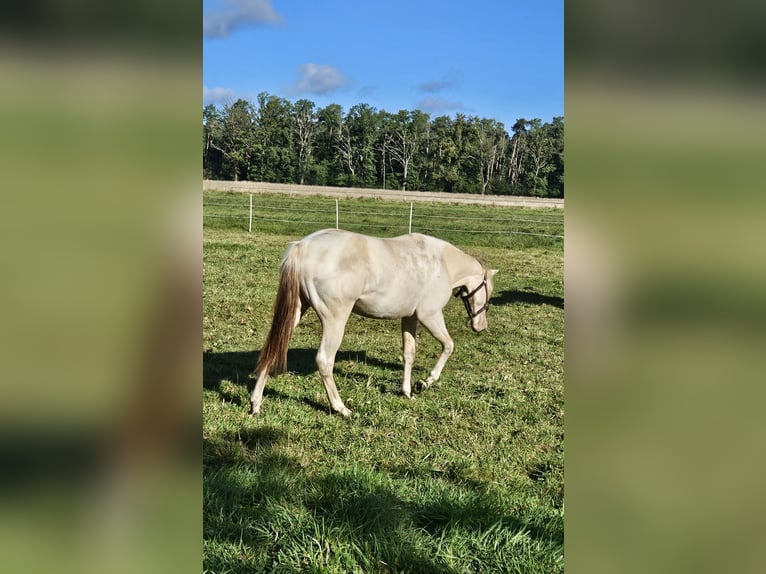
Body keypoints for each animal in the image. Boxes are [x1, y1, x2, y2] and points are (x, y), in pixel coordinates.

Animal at [250, 228, 497, 416]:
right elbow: (448, 346)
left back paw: (255, 403)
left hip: (296, 312)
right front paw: (425, 383)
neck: (442, 262)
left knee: (273, 349)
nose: (481, 326)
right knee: (324, 360)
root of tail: (303, 247)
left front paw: (407, 391)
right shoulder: (430, 316)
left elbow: (409, 353)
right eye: (489, 292)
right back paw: (341, 408)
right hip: (334, 320)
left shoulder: (410, 318)